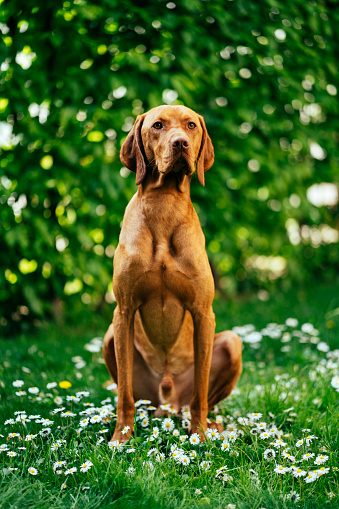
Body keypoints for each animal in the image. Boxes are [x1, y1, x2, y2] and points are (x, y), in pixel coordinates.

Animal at [103, 105, 242, 442]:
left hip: (231, 342)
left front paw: (200, 435)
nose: (181, 143)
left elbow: (200, 393)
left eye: (191, 125)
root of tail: (167, 403)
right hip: (112, 339)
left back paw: (212, 426)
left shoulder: (203, 312)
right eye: (157, 125)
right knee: (135, 397)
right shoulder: (123, 312)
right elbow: (123, 395)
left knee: (196, 399)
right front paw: (121, 438)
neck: (164, 204)